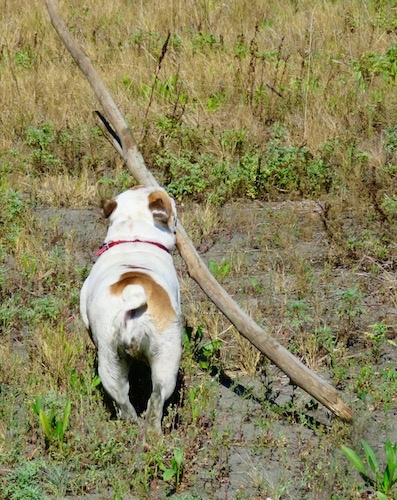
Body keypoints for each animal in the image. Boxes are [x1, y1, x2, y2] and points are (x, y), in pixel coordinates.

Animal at [81, 187, 183, 438]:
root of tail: (135, 296)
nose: (175, 200)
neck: (134, 237)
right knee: (155, 397)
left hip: (111, 357)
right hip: (162, 357)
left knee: (125, 399)